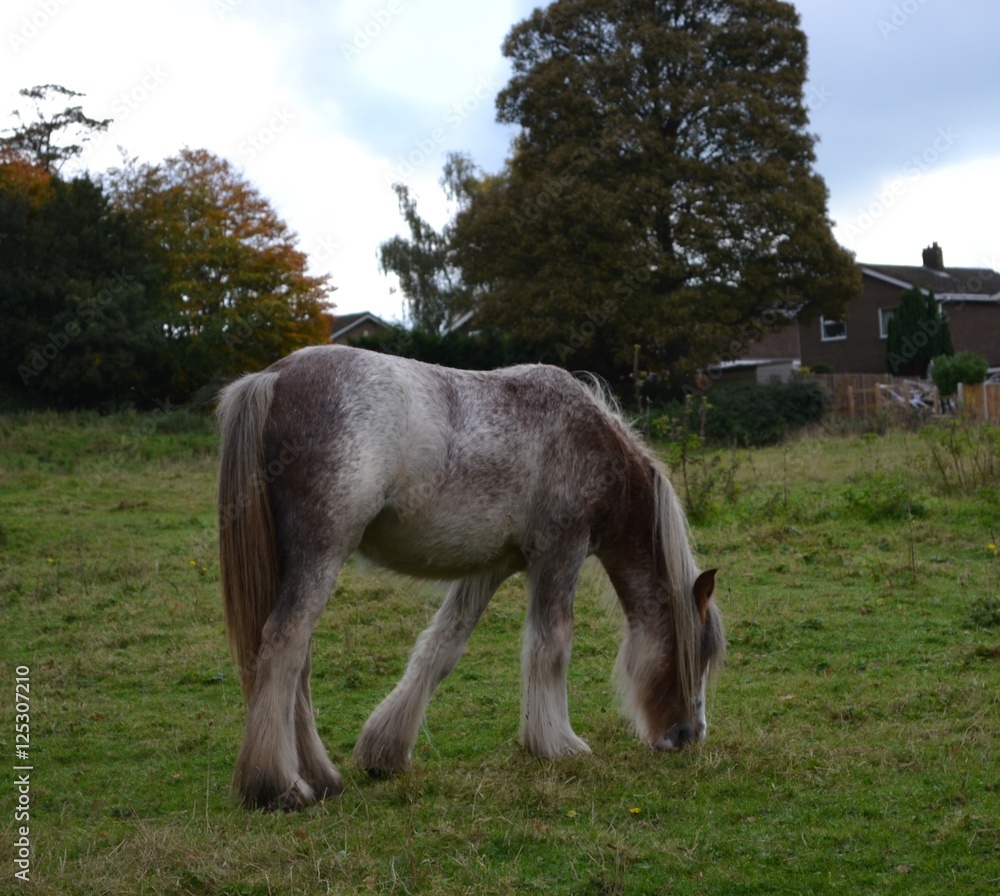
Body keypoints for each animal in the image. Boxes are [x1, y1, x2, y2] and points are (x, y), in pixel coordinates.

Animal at [217, 345, 725, 810]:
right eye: (697, 654)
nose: (688, 735)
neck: (588, 437)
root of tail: (274, 377)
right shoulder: (561, 551)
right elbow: (552, 645)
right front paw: (557, 744)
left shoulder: (493, 566)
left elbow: (443, 646)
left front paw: (386, 751)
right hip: (320, 554)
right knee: (284, 647)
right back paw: (280, 786)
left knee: (297, 664)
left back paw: (321, 778)